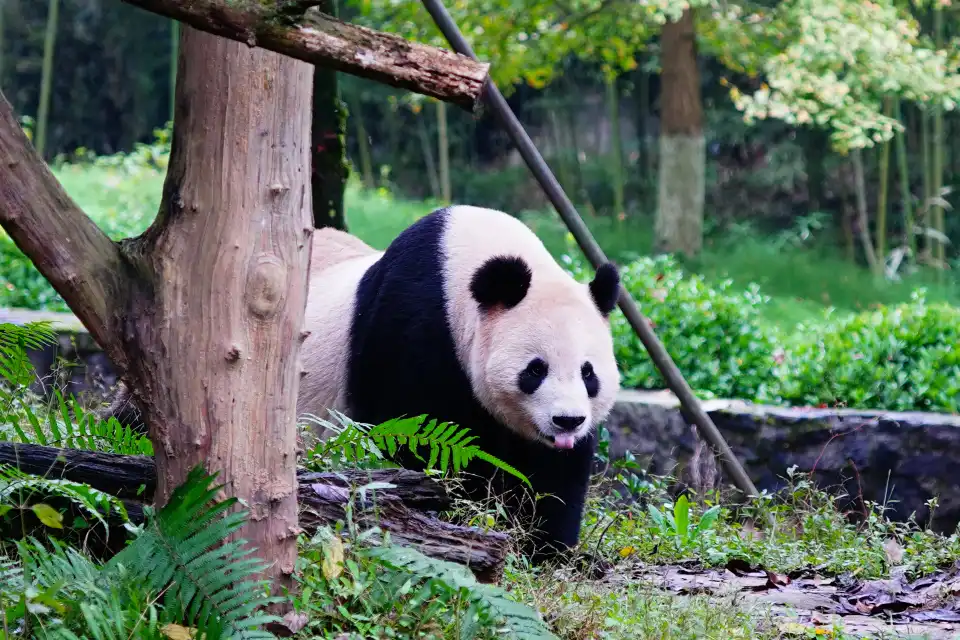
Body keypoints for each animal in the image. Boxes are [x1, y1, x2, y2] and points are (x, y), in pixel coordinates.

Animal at [298, 205, 622, 563]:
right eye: (536, 370)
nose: (567, 421)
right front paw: (468, 516)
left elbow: (556, 472)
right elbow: (423, 437)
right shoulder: (412, 328)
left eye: (588, 373)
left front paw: (548, 548)